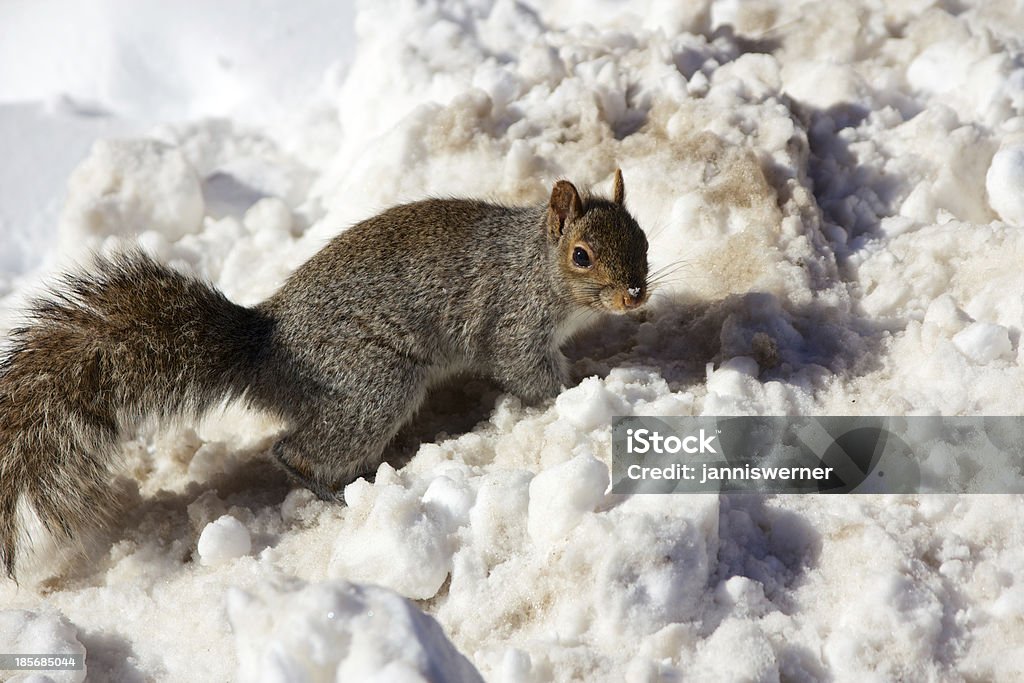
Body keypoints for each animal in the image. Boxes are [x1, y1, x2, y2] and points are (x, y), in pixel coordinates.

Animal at [0, 169, 647, 577]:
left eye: (642, 238)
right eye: (582, 256)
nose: (636, 296)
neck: (533, 264)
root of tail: (268, 347)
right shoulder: (513, 323)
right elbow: (530, 372)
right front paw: (580, 388)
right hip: (373, 386)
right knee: (296, 450)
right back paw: (337, 494)